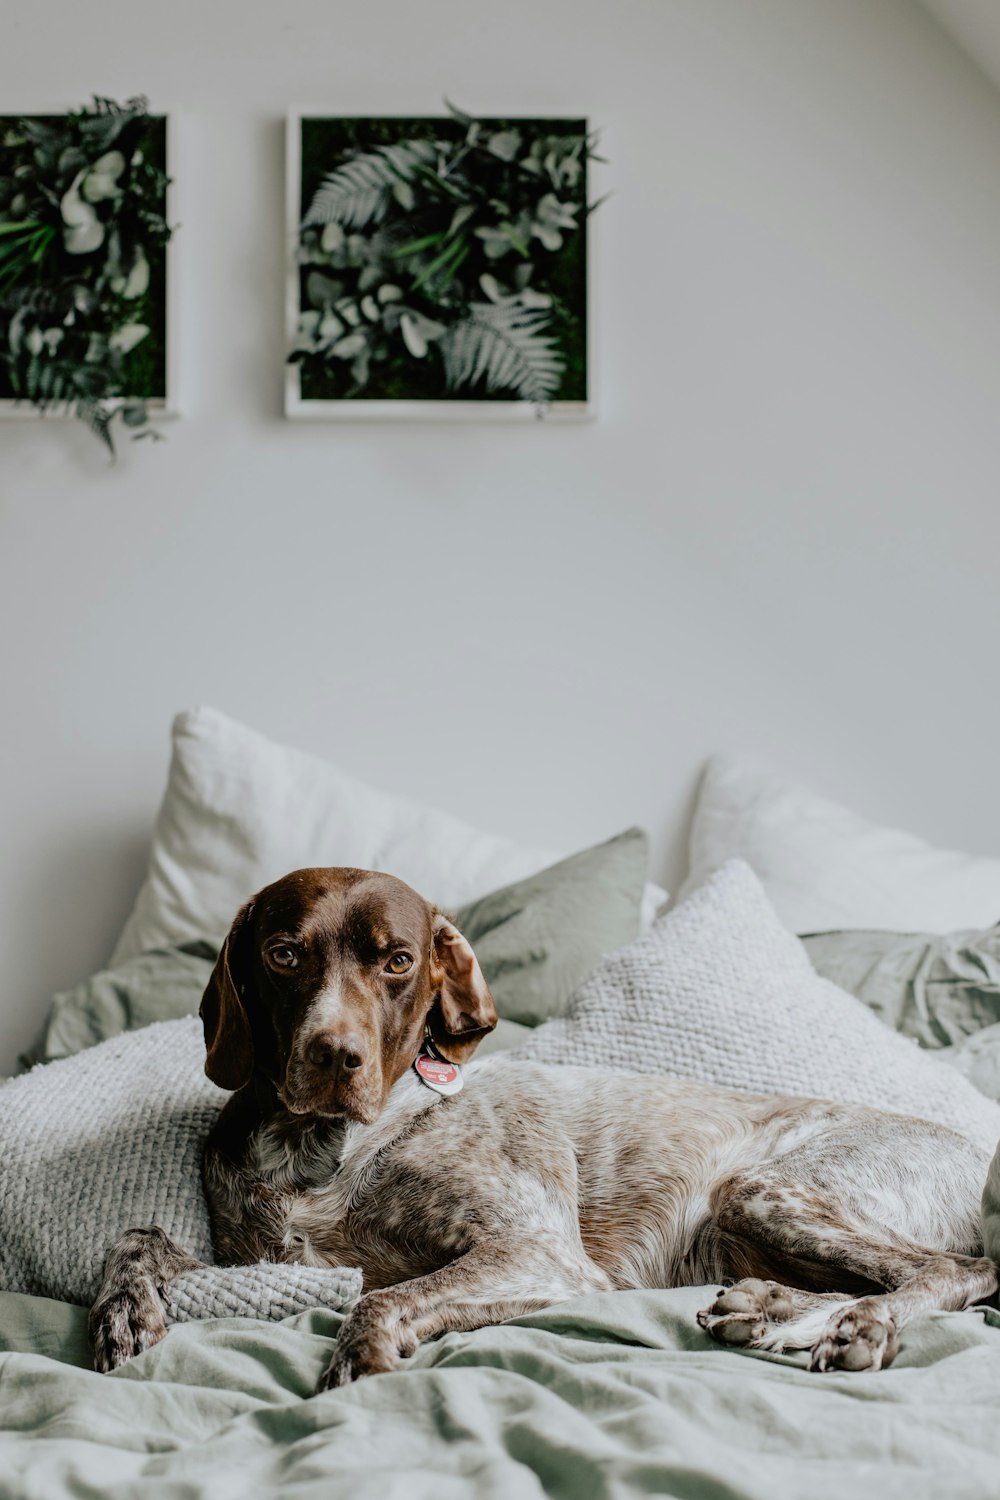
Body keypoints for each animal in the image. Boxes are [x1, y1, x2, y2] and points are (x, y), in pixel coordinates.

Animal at [89, 876, 995, 1386]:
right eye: (283, 954)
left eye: (398, 961)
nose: (334, 1056)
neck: (322, 1150)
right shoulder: (262, 1263)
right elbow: (137, 1237)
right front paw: (122, 1311)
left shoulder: (539, 1254)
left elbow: (383, 1296)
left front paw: (360, 1360)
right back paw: (772, 1310)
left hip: (766, 1187)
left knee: (956, 1271)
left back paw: (854, 1329)